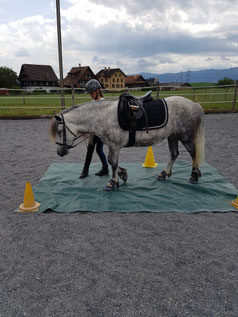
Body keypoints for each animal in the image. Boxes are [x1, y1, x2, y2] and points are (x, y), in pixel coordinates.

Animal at [49, 95, 205, 190]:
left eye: (60, 131)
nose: (59, 152)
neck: (102, 116)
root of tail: (194, 104)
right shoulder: (112, 146)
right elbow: (111, 162)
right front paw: (123, 175)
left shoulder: (114, 145)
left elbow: (113, 162)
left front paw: (113, 182)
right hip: (172, 136)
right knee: (174, 154)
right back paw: (164, 173)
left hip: (185, 137)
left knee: (193, 154)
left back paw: (194, 176)